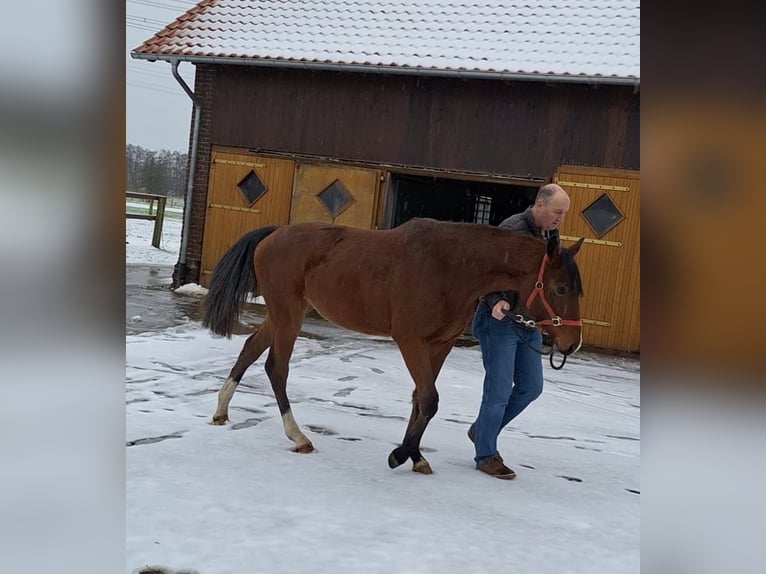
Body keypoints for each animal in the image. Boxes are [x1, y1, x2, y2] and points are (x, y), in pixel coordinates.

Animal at [201, 218, 584, 474]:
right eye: (560, 288)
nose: (571, 344)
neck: (450, 267)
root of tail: (273, 234)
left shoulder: (440, 344)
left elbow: (420, 399)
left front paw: (415, 456)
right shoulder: (410, 340)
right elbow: (429, 399)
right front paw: (399, 455)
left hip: (282, 315)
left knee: (250, 348)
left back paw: (221, 411)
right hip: (288, 315)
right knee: (276, 369)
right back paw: (299, 437)